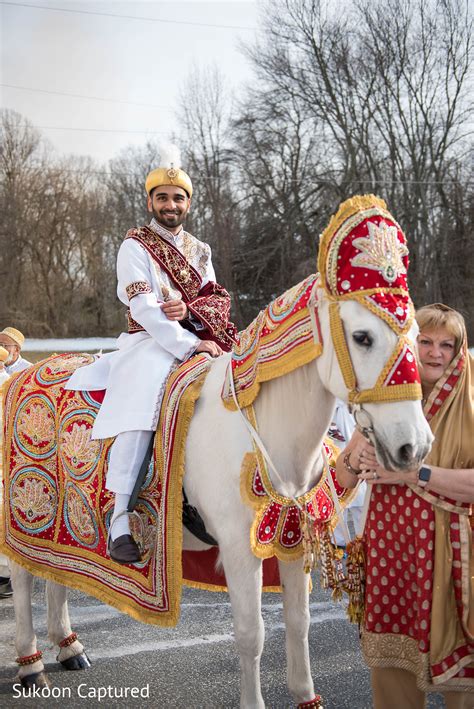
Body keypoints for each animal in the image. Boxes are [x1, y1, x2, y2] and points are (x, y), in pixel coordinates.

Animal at [6, 284, 434, 704]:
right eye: (362, 337)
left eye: (416, 336)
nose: (414, 446)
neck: (264, 423)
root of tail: (24, 374)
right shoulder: (239, 549)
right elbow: (251, 633)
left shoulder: (293, 541)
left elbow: (299, 623)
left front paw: (305, 694)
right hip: (24, 513)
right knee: (23, 578)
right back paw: (31, 663)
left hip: (66, 520)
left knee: (57, 572)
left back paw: (69, 646)